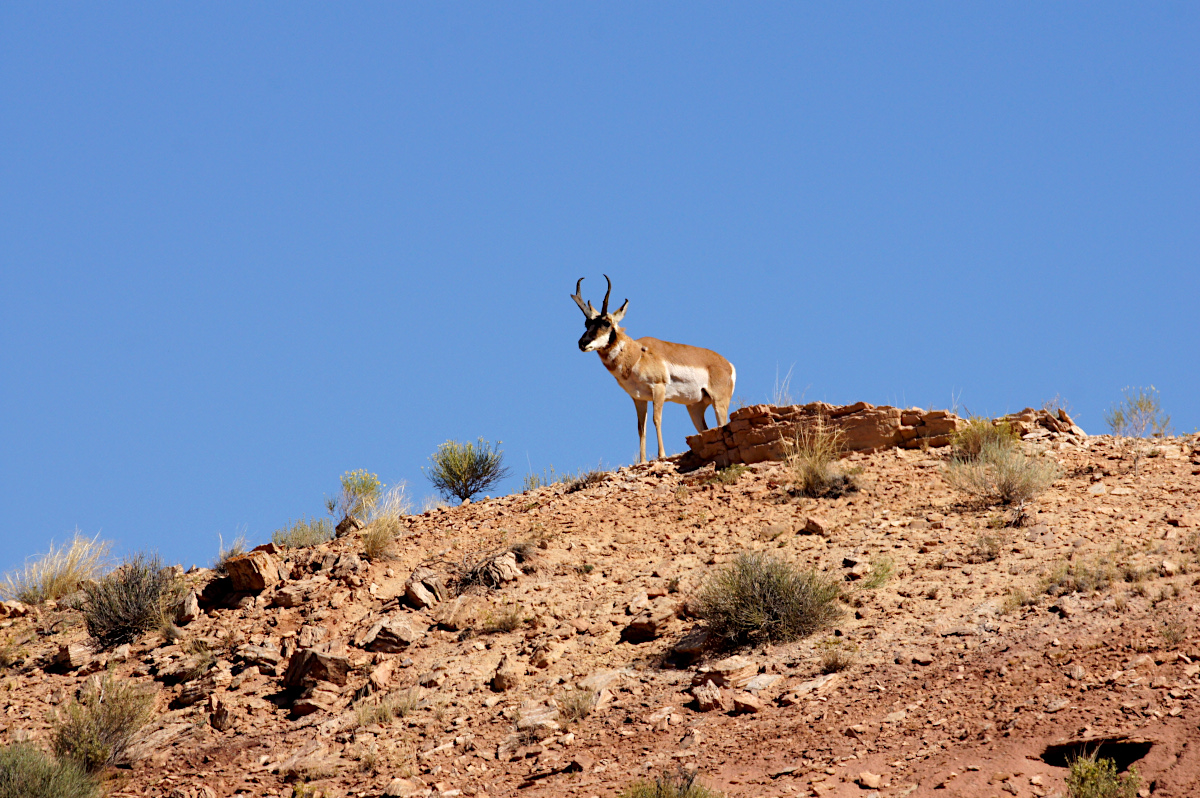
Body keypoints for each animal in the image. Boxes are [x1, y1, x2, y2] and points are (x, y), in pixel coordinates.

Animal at [568, 276, 734, 463]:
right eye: (586, 323)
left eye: (606, 322)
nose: (582, 343)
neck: (637, 354)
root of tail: (726, 363)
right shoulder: (638, 398)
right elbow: (641, 428)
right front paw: (642, 461)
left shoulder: (658, 389)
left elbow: (657, 419)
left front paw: (661, 455)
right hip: (694, 407)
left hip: (719, 403)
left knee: (721, 424)